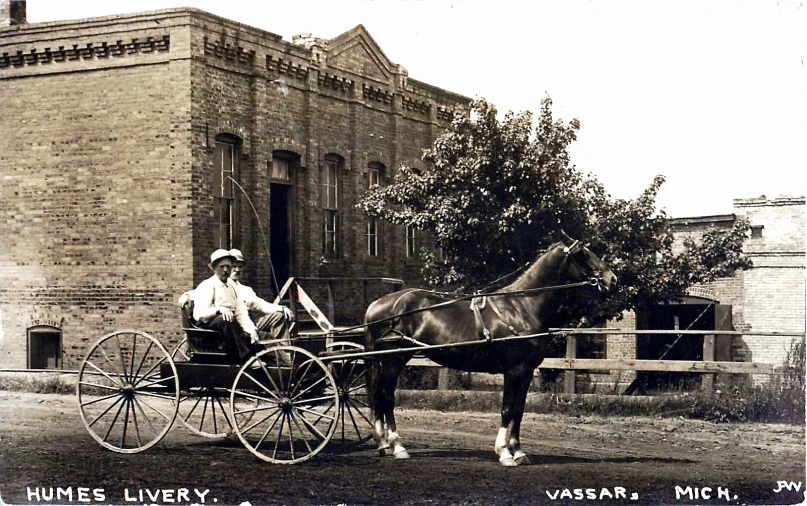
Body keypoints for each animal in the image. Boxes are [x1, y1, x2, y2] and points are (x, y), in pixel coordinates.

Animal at [362, 233, 616, 466]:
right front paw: (504, 453)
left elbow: (519, 410)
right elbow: (507, 409)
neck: (522, 307)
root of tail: (377, 305)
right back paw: (398, 446)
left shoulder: (525, 372)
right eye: (583, 253)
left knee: (378, 397)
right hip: (394, 360)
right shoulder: (514, 370)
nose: (611, 279)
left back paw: (383, 443)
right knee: (386, 397)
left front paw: (519, 452)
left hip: (387, 361)